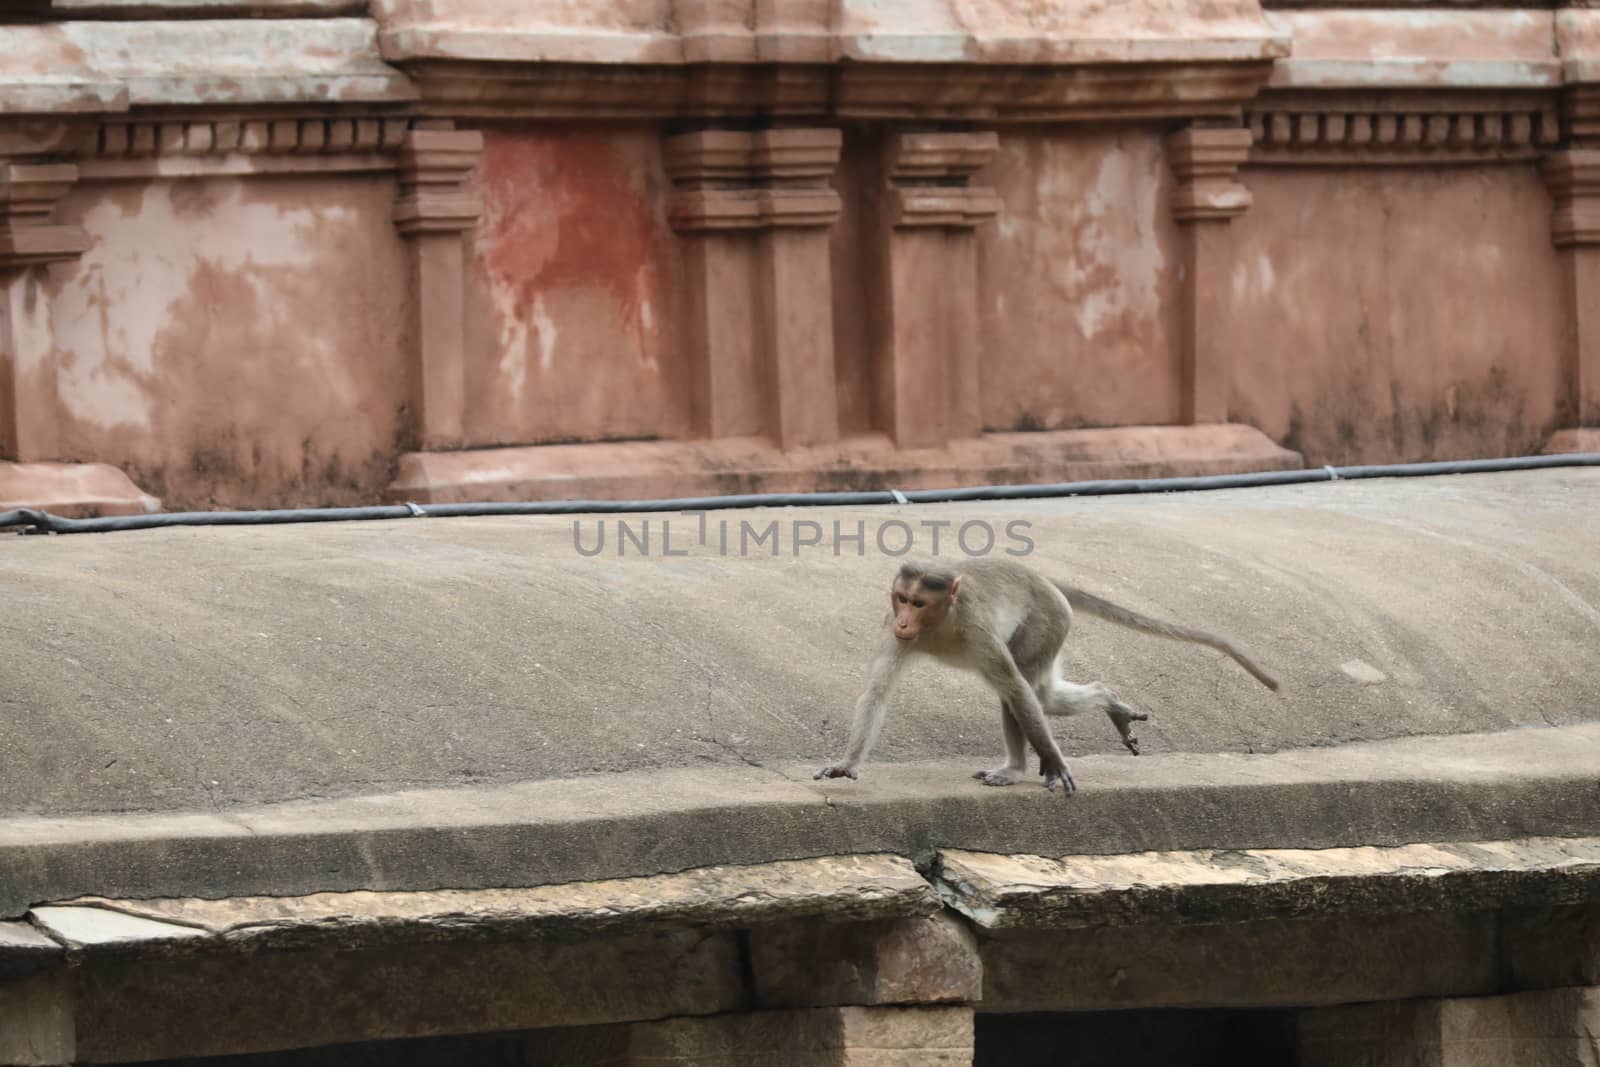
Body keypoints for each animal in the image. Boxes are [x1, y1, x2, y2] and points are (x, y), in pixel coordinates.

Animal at [812, 559, 1273, 793]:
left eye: (919, 602)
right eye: (902, 599)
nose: (906, 621)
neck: (939, 623)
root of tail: (1046, 581)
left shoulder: (975, 629)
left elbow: (1017, 689)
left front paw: (1054, 761)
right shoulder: (891, 629)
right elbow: (877, 692)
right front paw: (847, 764)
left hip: (1047, 623)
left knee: (1023, 690)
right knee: (1037, 695)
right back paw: (1105, 703)